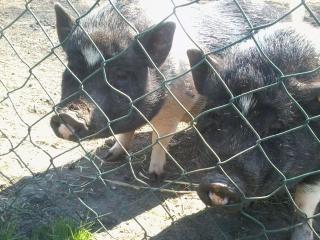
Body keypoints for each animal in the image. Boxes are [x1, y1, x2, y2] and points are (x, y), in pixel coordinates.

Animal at [50, 0, 290, 176]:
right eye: (72, 67)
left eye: (121, 74)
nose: (68, 114)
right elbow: (126, 132)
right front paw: (110, 157)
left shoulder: (172, 112)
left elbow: (159, 140)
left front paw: (154, 176)